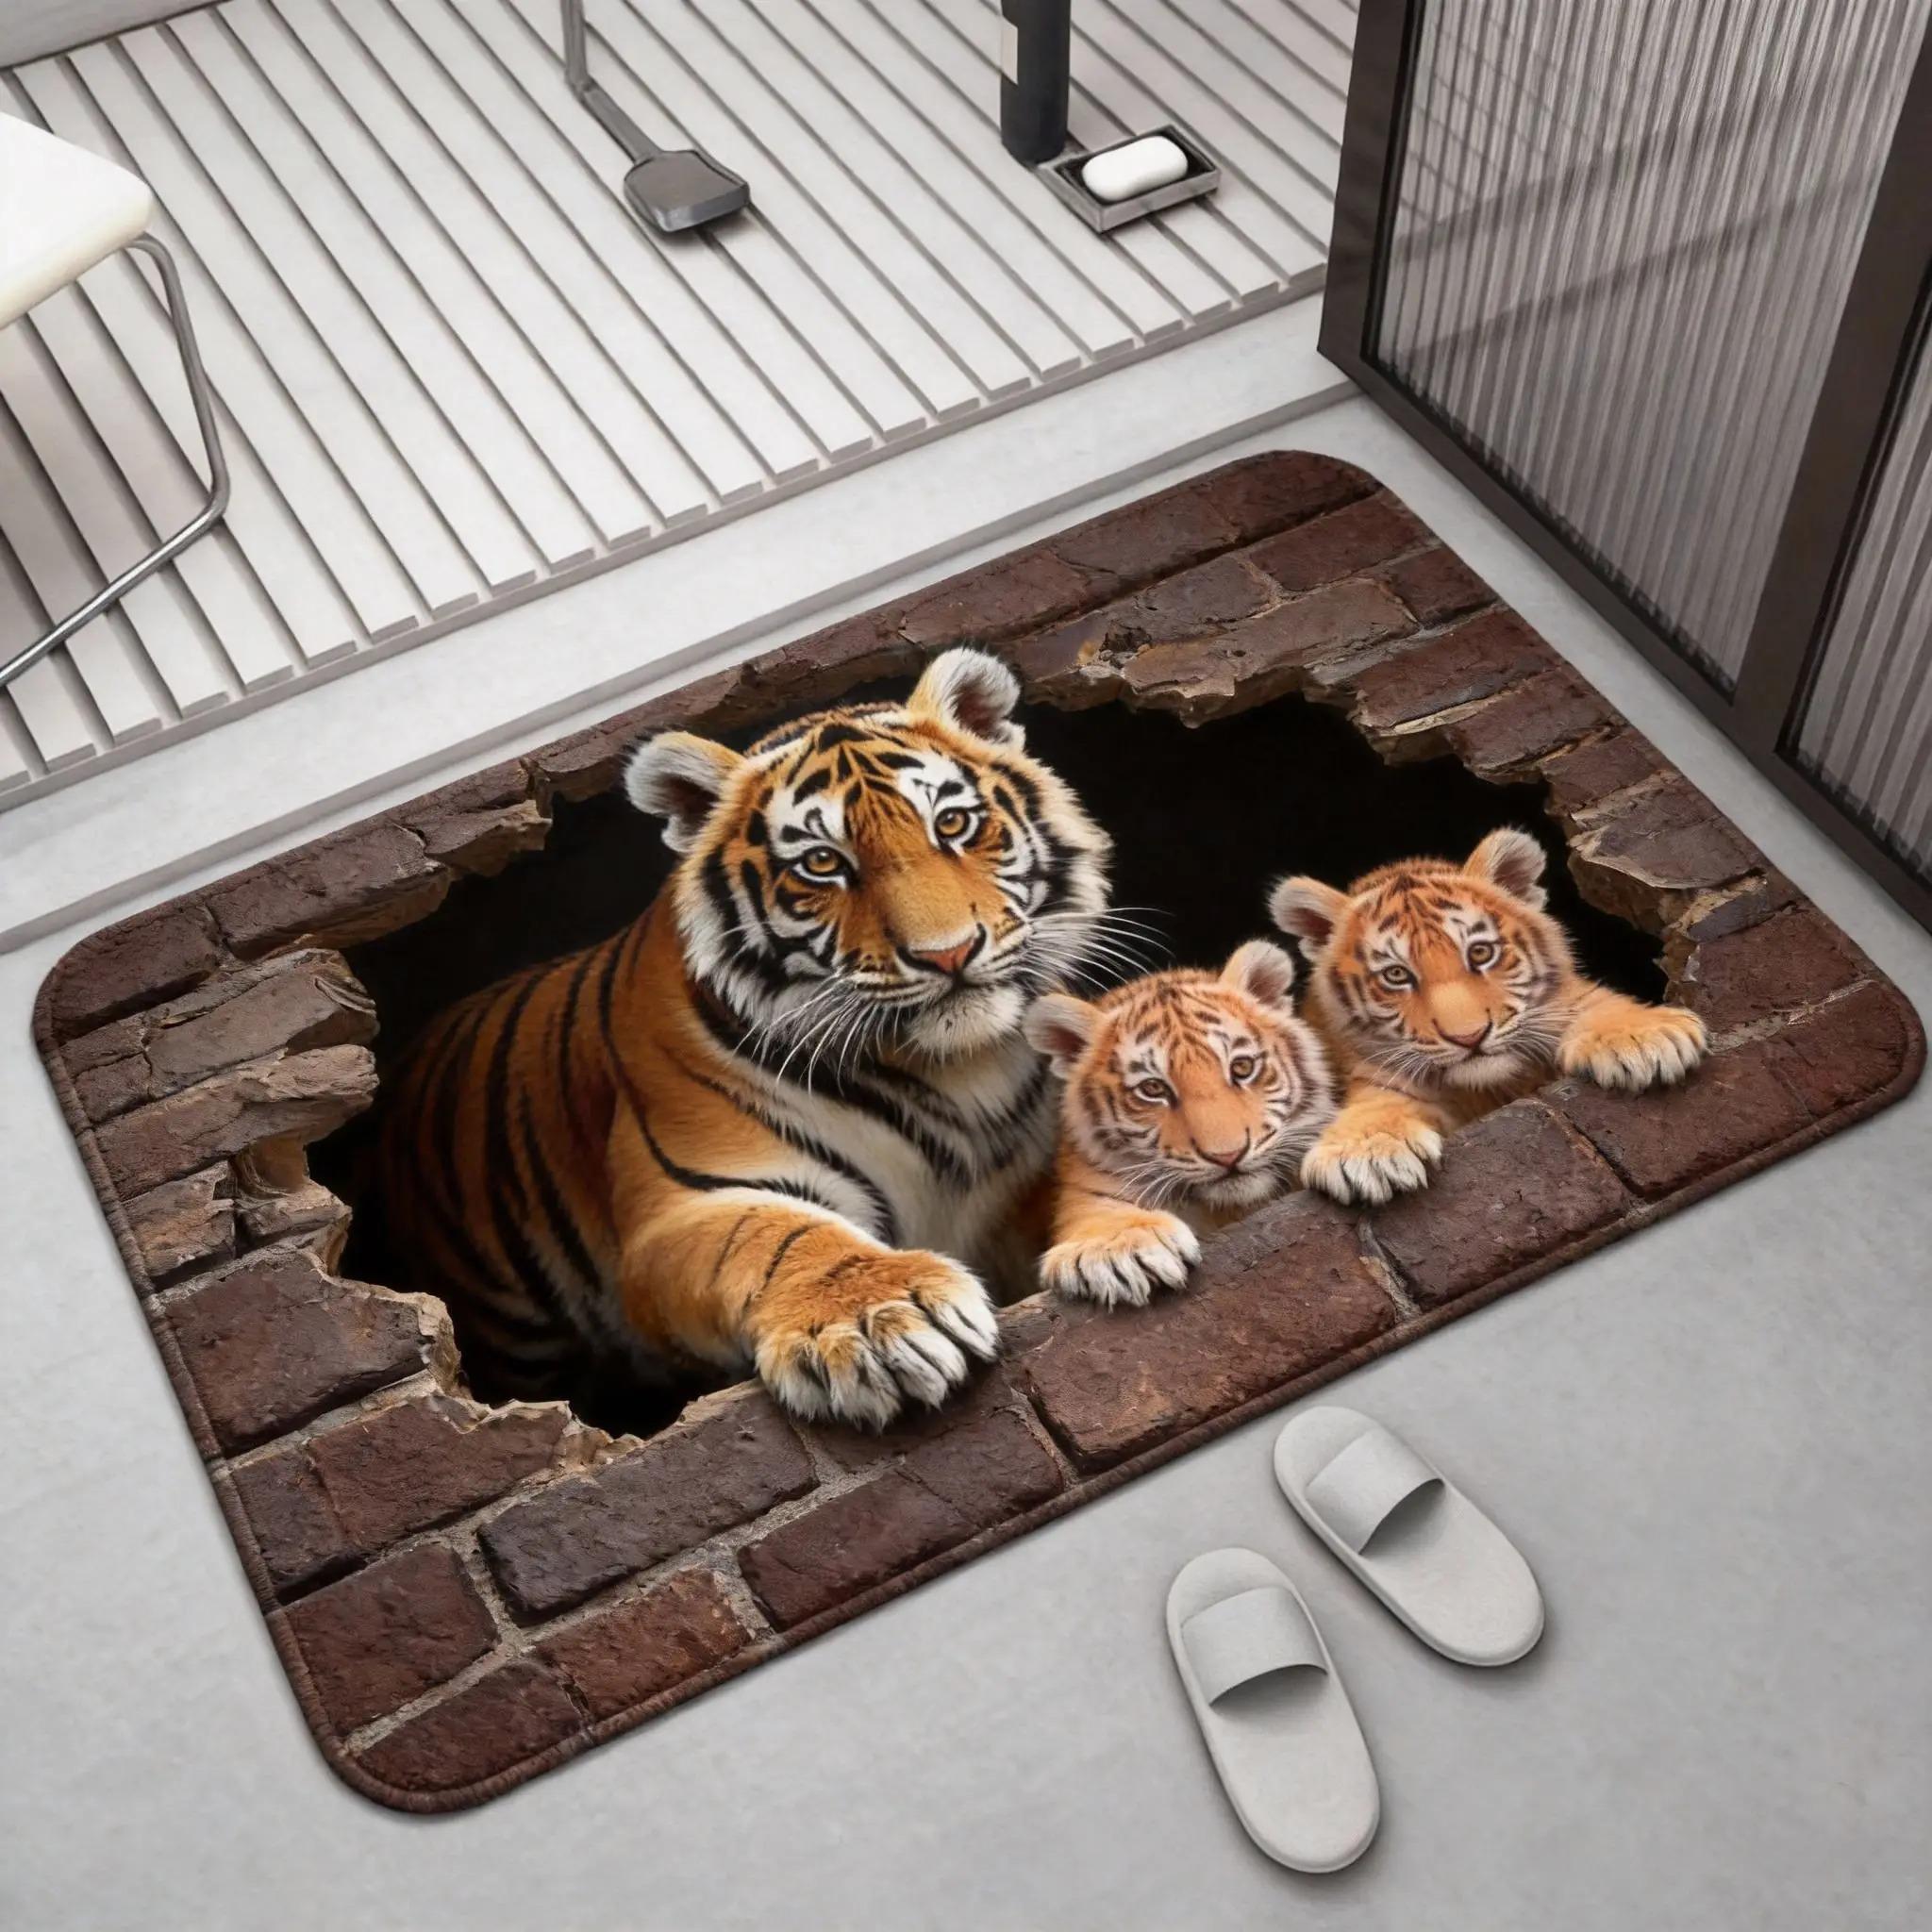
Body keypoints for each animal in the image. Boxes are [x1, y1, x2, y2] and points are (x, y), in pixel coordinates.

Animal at [369, 648, 1113, 1428]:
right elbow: (780, 1238)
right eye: (822, 863)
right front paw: (877, 1320)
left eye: (956, 823)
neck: (960, 1070)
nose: (948, 954)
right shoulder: (693, 1198)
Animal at [1022, 941, 1337, 1307]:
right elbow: (1097, 1213)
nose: (1228, 1156)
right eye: (1153, 1089)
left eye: (1242, 1068)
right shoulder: (1085, 1189)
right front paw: (1123, 1250)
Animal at [1269, 826, 1707, 1205]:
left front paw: (1643, 1038)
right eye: (1396, 975)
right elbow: (1378, 1104)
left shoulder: (1569, 999)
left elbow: (1597, 1004)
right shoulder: (1380, 1077)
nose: (1469, 1037)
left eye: (1480, 953)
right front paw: (1368, 1152)